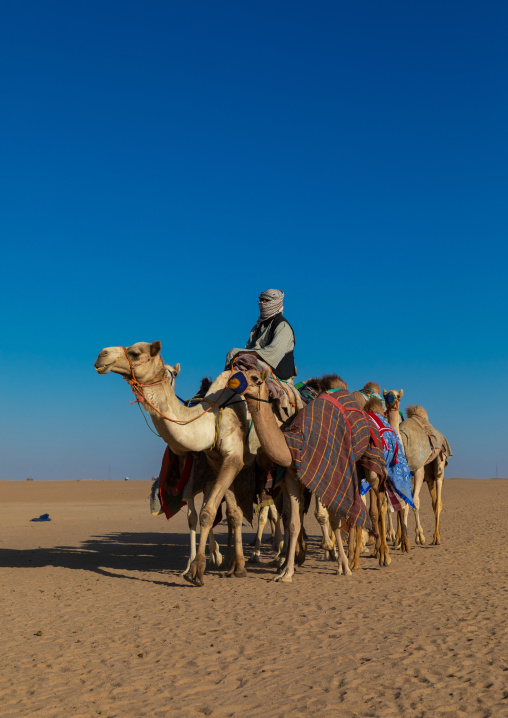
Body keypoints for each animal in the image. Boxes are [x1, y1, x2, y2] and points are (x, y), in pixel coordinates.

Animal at [94, 341, 262, 586]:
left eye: (135, 353)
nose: (101, 355)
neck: (209, 418)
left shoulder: (231, 458)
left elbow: (207, 513)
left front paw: (197, 570)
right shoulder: (215, 464)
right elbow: (220, 514)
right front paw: (226, 566)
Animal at [234, 365, 390, 582]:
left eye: (255, 377)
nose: (233, 381)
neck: (295, 442)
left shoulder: (332, 473)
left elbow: (332, 519)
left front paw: (342, 565)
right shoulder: (292, 476)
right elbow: (293, 522)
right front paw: (286, 572)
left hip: (371, 460)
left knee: (381, 500)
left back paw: (382, 556)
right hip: (355, 470)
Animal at [383, 389, 452, 545]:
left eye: (398, 396)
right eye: (385, 396)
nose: (390, 401)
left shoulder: (418, 471)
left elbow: (414, 502)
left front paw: (419, 536)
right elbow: (400, 505)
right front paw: (399, 540)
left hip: (439, 462)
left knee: (438, 500)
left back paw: (436, 537)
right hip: (428, 472)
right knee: (434, 501)